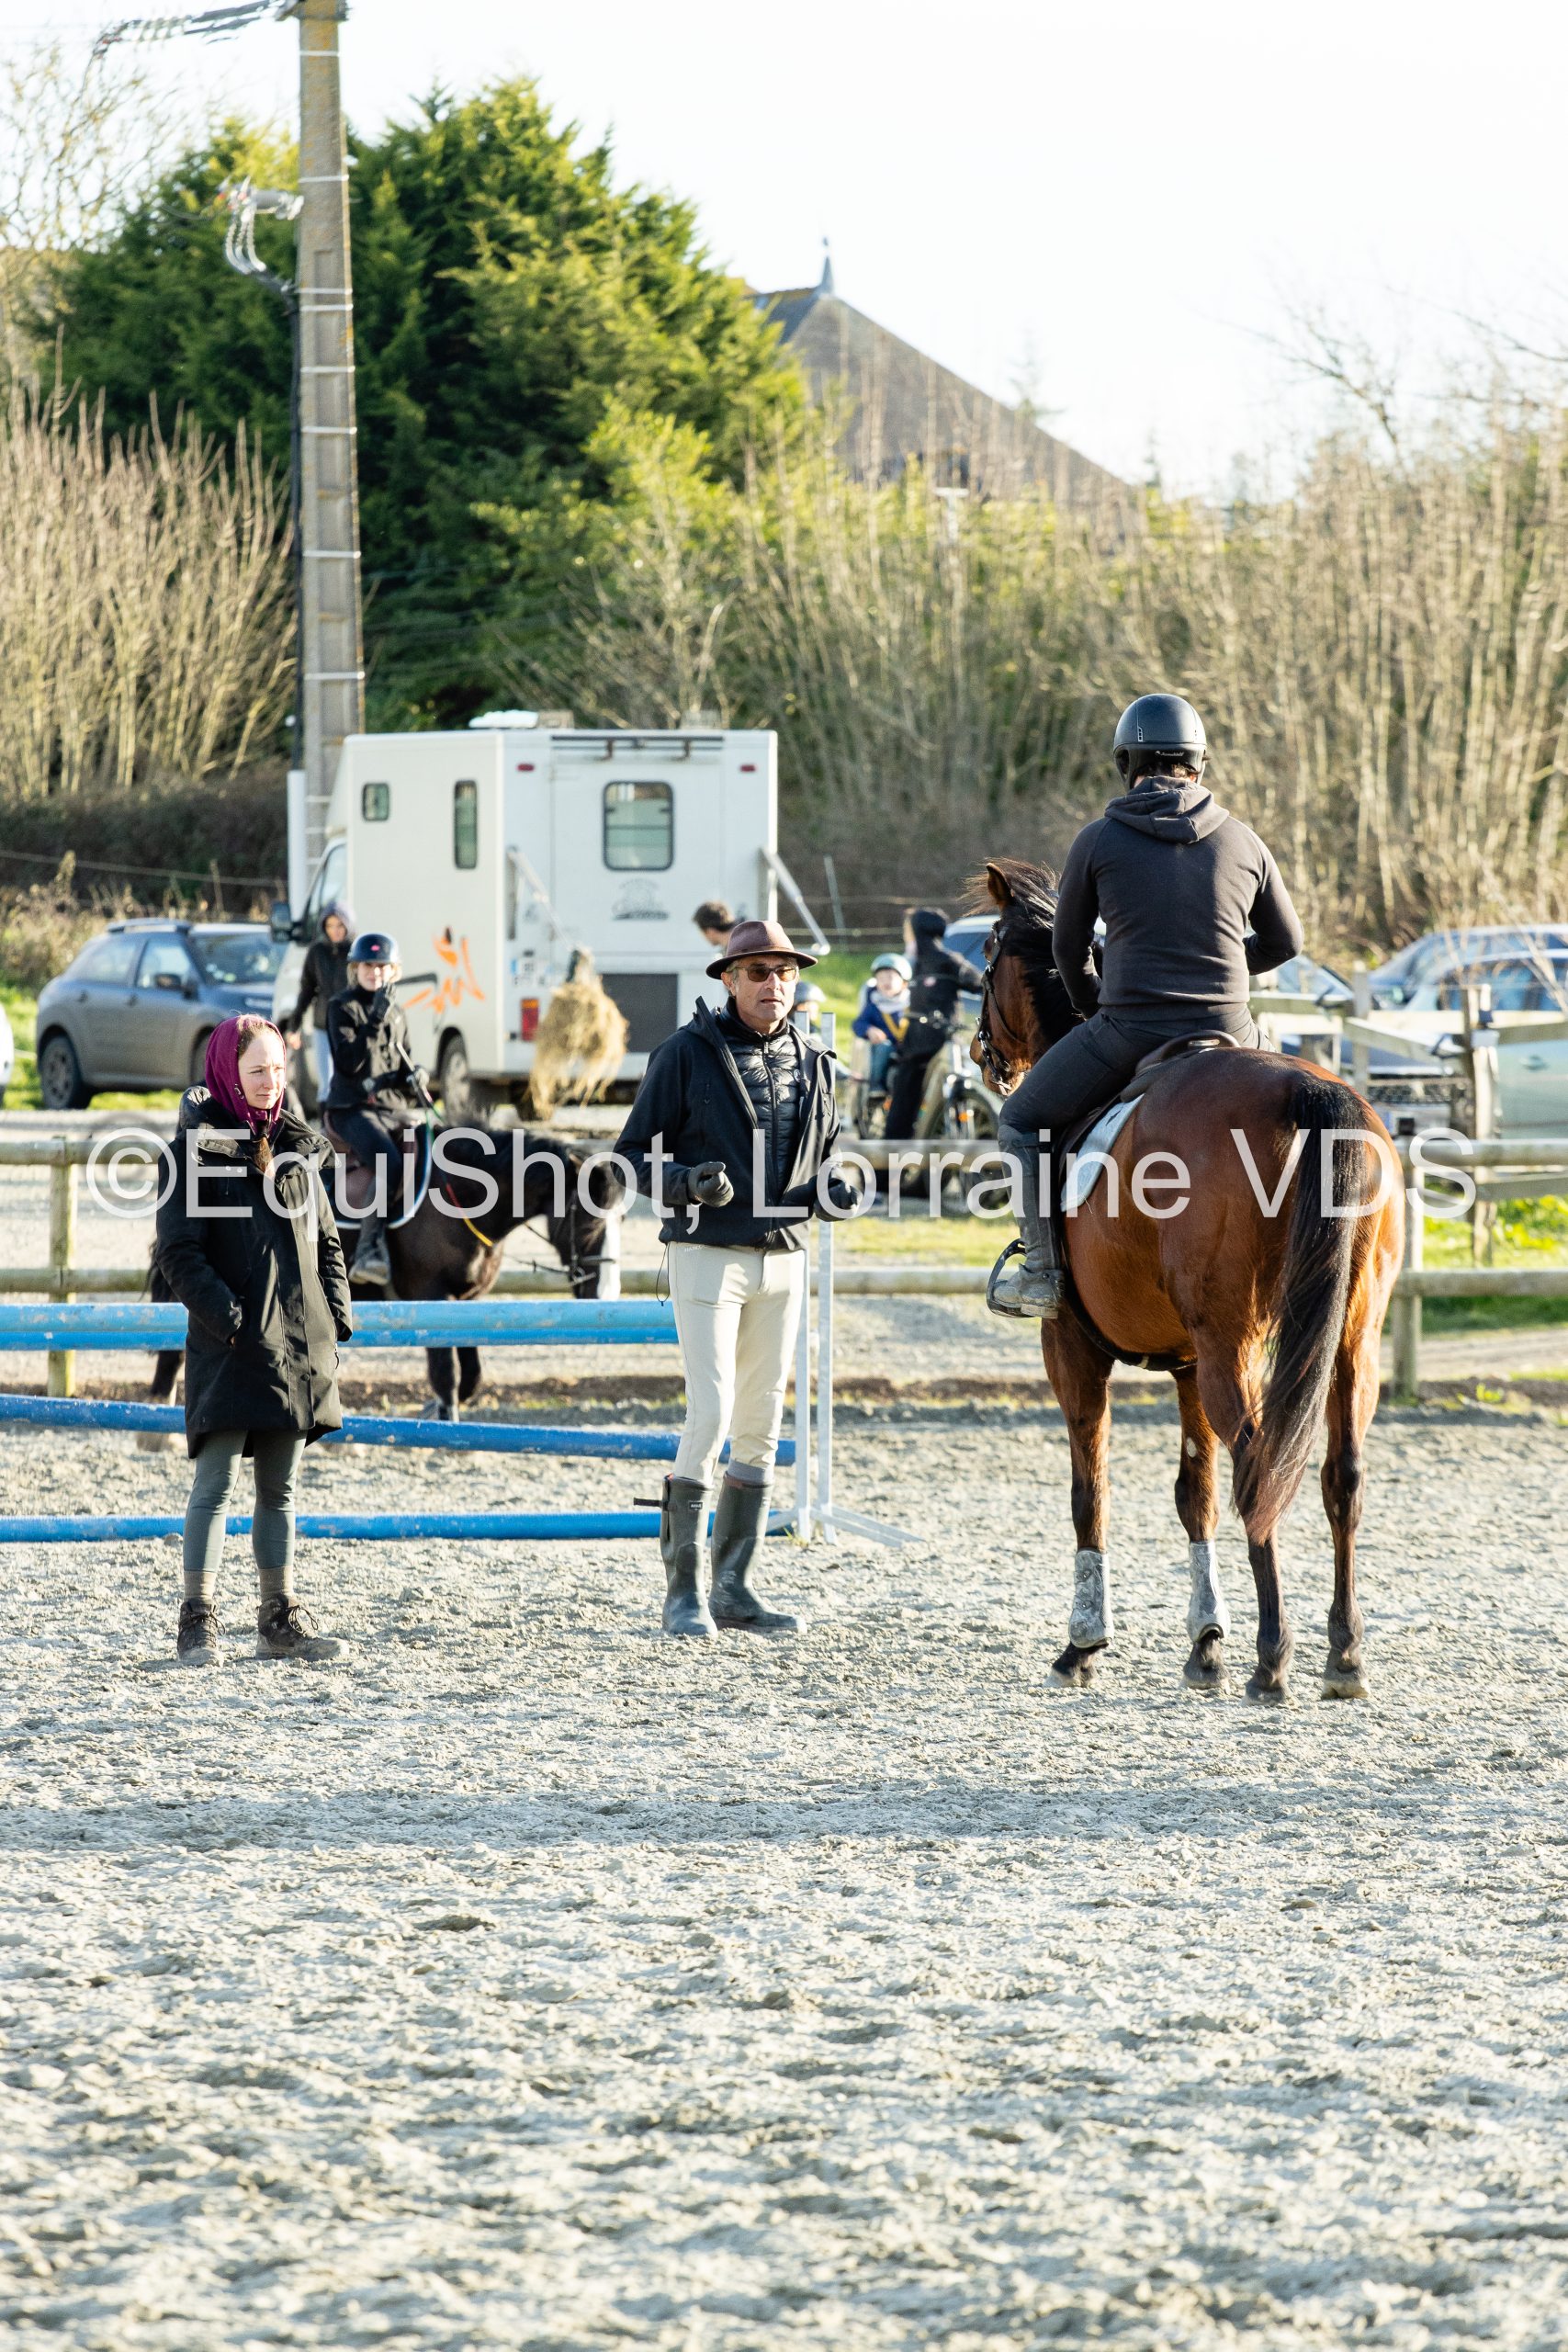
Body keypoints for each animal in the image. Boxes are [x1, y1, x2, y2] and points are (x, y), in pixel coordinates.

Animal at [146, 1122, 626, 1427]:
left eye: (621, 1216)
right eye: (586, 1220)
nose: (605, 1295)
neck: (463, 1197)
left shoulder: (468, 1301)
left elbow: (471, 1371)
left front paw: (441, 1408)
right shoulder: (431, 1295)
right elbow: (446, 1370)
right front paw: (445, 1416)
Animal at [971, 858, 1404, 1701]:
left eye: (985, 960)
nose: (984, 1056)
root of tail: (1307, 1090)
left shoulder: (1072, 1348)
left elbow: (1090, 1490)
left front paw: (1083, 1644)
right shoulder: (1185, 1366)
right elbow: (1192, 1494)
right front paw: (1204, 1640)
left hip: (1229, 1345)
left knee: (1258, 1464)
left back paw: (1273, 1656)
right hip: (1349, 1340)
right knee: (1340, 1475)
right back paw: (1343, 1654)